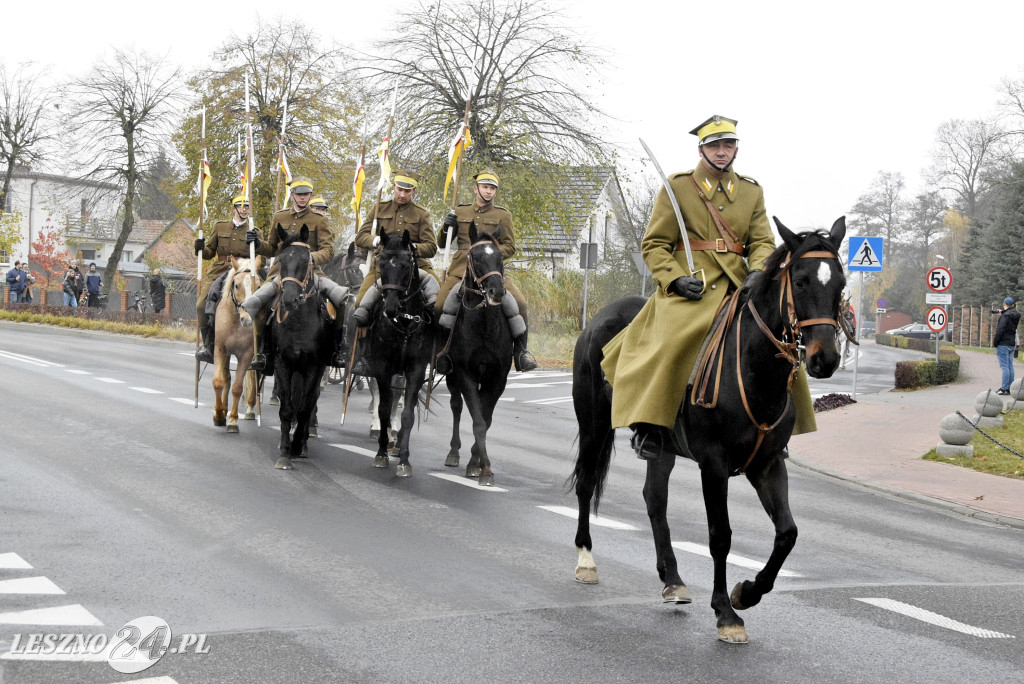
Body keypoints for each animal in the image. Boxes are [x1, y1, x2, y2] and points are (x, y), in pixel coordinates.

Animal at [212, 255, 264, 432]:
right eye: (236, 285)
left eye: (258, 286)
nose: (247, 319)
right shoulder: (220, 350)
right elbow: (219, 382)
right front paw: (219, 415)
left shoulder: (246, 355)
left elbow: (237, 387)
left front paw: (233, 421)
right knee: (226, 378)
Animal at [360, 229, 432, 475]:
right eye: (381, 262)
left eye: (406, 264)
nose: (391, 307)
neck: (405, 324)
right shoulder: (382, 368)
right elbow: (383, 407)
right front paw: (381, 452)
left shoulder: (416, 370)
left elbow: (407, 413)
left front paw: (404, 459)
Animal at [442, 224, 516, 485]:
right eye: (474, 256)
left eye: (500, 256)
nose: (497, 291)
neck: (484, 324)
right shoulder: (466, 375)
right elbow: (478, 421)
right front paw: (484, 469)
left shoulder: (497, 378)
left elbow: (486, 419)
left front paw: (477, 462)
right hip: (451, 376)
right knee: (455, 407)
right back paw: (453, 452)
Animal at [569, 216, 847, 643]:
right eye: (800, 281)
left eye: (842, 283)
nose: (826, 358)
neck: (751, 367)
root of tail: (601, 317)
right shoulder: (713, 465)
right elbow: (720, 535)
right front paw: (726, 612)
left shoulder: (767, 464)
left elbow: (787, 533)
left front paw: (747, 592)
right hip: (594, 425)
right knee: (586, 483)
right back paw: (586, 560)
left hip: (661, 445)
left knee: (655, 499)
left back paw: (673, 579)